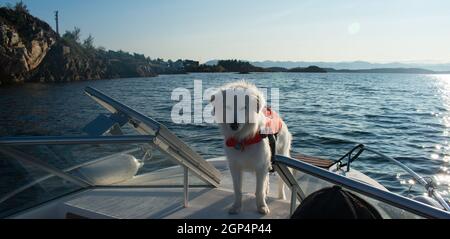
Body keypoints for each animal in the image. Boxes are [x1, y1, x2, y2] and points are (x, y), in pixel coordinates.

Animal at [211, 81, 292, 215]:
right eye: (227, 106)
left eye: (244, 107)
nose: (234, 125)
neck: (243, 139)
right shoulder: (235, 166)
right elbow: (237, 189)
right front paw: (236, 207)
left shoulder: (261, 165)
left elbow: (259, 191)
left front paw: (262, 207)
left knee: (280, 182)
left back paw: (281, 196)